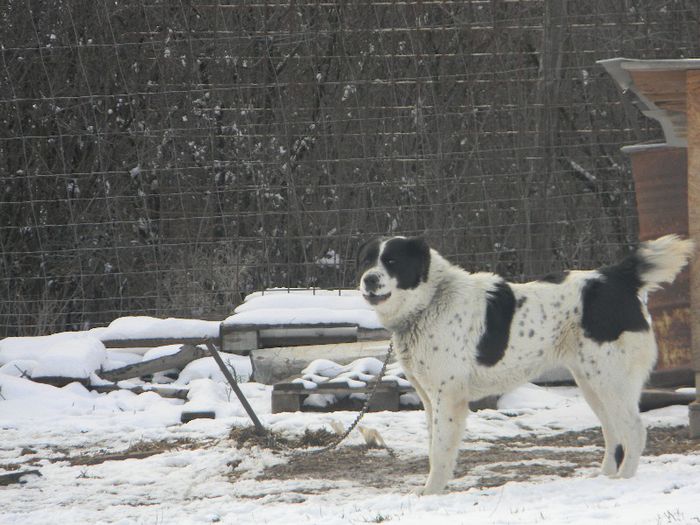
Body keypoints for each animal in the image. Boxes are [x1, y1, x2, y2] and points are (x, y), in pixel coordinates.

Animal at [360, 235, 696, 494]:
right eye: (368, 261)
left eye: (392, 261)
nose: (368, 279)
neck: (431, 301)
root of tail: (616, 277)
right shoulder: (430, 399)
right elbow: (434, 447)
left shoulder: (449, 397)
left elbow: (440, 450)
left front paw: (430, 493)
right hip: (592, 382)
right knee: (614, 433)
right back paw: (605, 479)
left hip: (610, 380)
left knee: (635, 431)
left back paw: (624, 481)